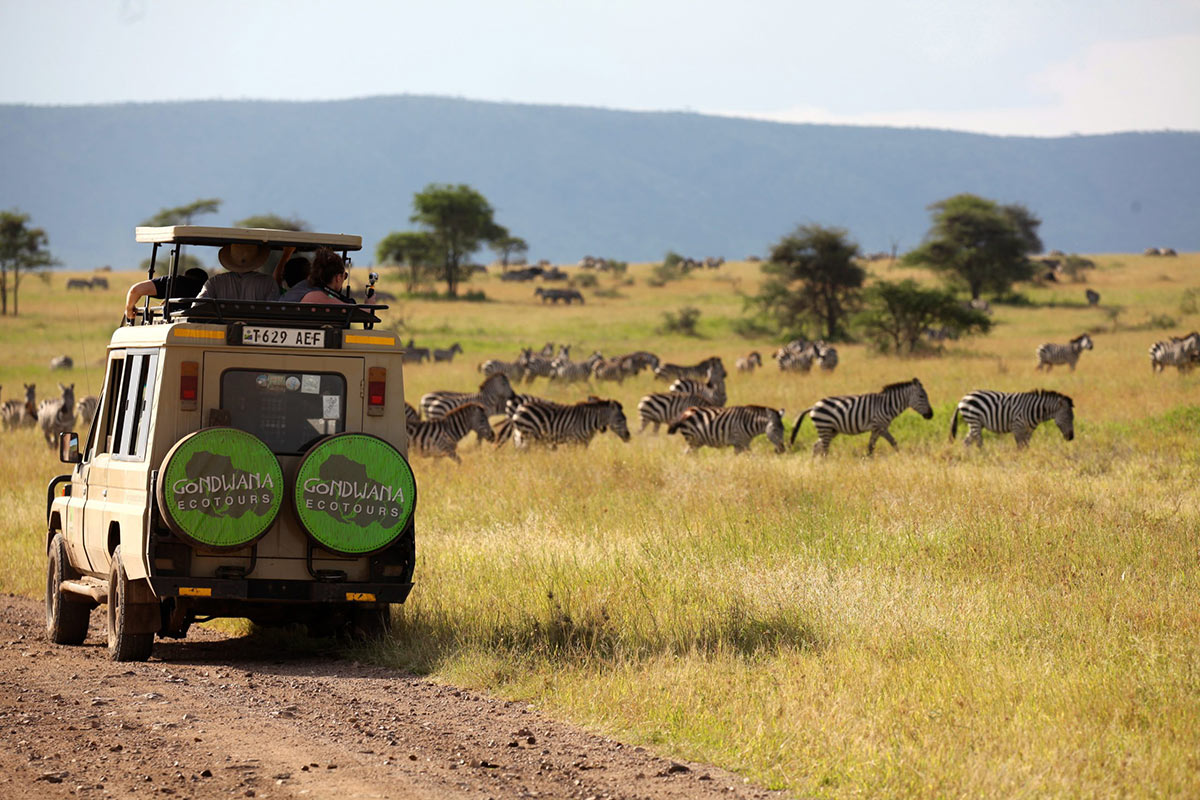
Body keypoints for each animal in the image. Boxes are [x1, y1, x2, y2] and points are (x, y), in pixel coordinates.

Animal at [787, 376, 936, 455]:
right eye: (922, 396)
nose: (930, 415)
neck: (887, 405)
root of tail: (813, 406)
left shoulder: (882, 428)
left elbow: (892, 442)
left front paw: (899, 455)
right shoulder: (877, 426)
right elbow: (871, 446)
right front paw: (869, 460)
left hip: (830, 430)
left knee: (816, 446)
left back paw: (816, 466)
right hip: (825, 427)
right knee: (823, 449)